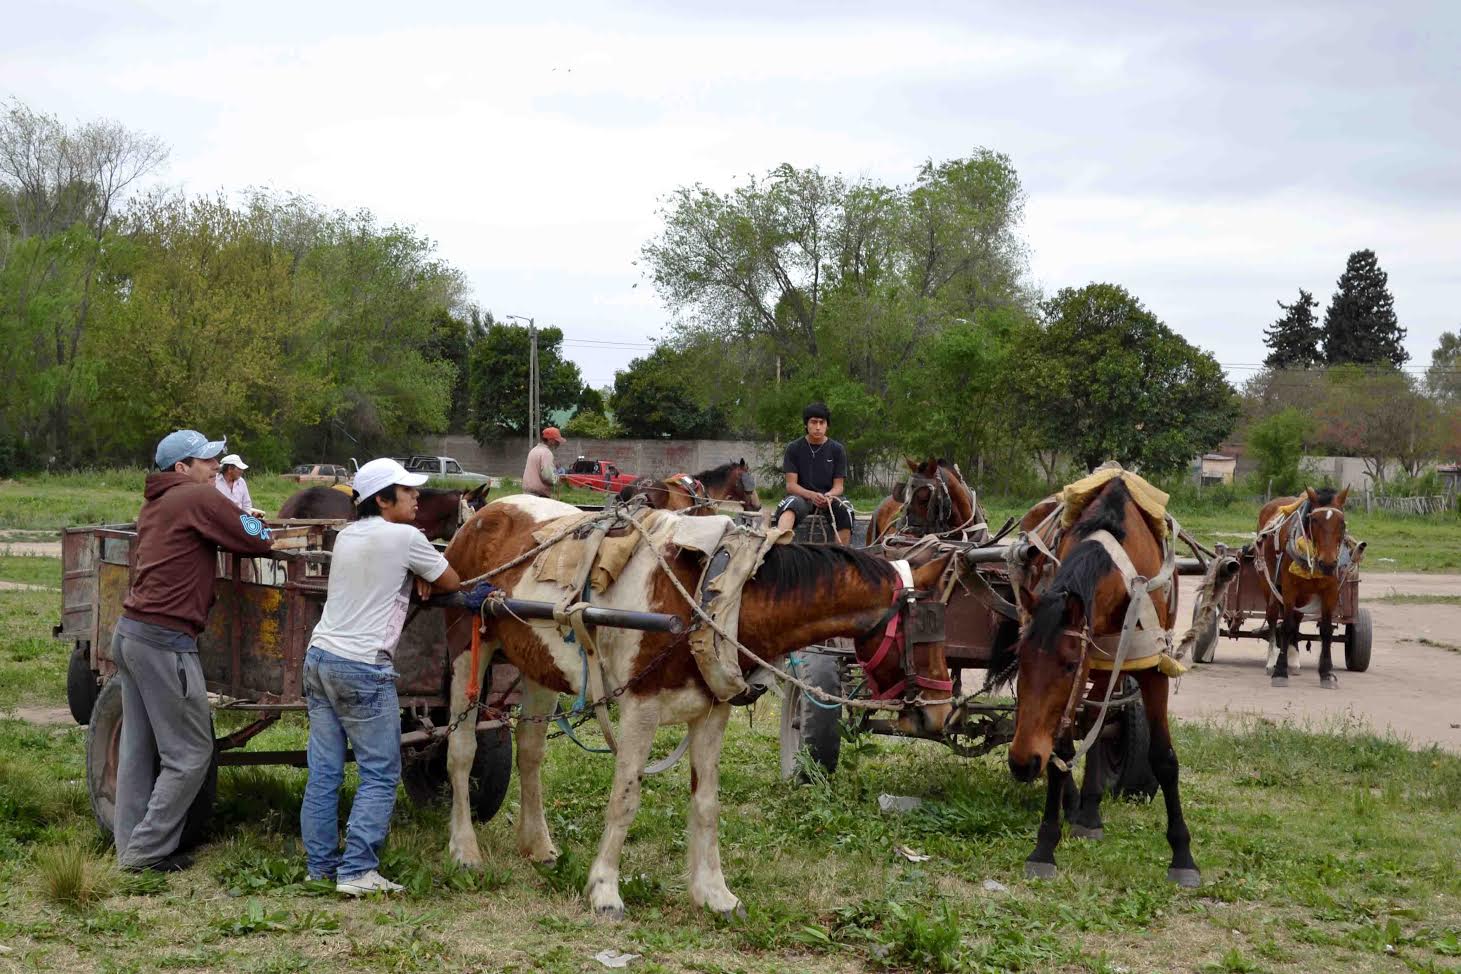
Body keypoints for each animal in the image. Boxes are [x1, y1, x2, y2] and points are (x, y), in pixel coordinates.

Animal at [438, 499, 952, 917]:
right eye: (923, 634)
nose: (941, 712)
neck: (720, 594)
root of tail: (482, 515)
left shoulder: (712, 712)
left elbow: (706, 803)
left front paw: (714, 894)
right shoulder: (640, 710)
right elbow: (624, 798)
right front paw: (604, 890)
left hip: (537, 664)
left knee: (530, 753)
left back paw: (538, 845)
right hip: (468, 648)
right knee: (461, 752)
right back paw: (464, 850)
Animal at [1005, 478, 1198, 893]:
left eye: (1068, 664)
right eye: (1019, 659)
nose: (1022, 762)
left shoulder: (1150, 668)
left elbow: (1164, 758)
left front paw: (1183, 856)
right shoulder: (1088, 663)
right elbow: (1062, 754)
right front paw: (1044, 847)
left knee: (1103, 721)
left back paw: (1090, 811)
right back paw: (1084, 808)